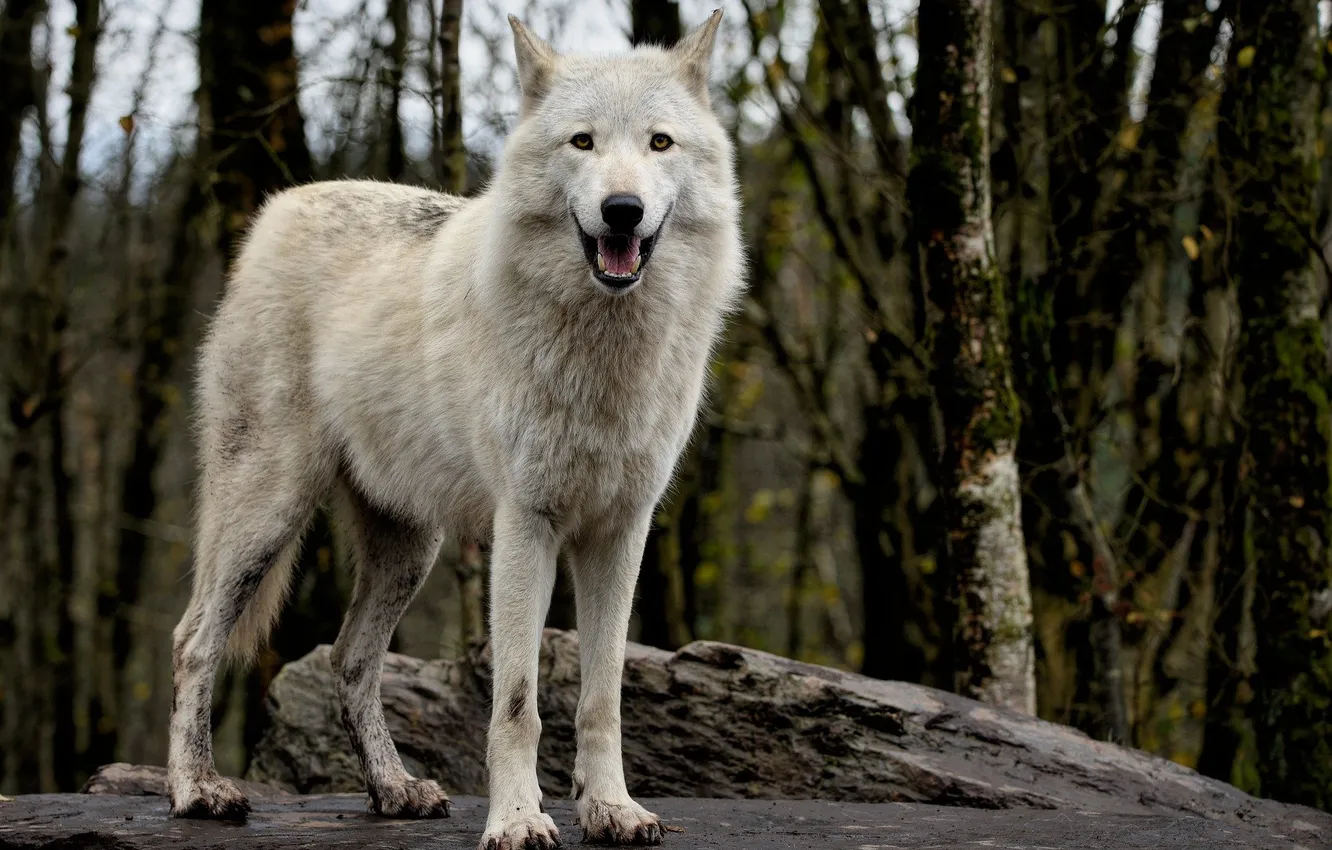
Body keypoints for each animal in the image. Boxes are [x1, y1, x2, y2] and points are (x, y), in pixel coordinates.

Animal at [166, 9, 742, 849]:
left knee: (348, 658)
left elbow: (601, 697)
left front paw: (611, 809)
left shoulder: (620, 531)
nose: (622, 209)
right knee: (194, 642)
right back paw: (196, 790)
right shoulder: (526, 526)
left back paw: (393, 789)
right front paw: (518, 821)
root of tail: (274, 212)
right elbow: (517, 704)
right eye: (582, 142)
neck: (606, 351)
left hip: (410, 549)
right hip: (266, 514)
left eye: (659, 143)